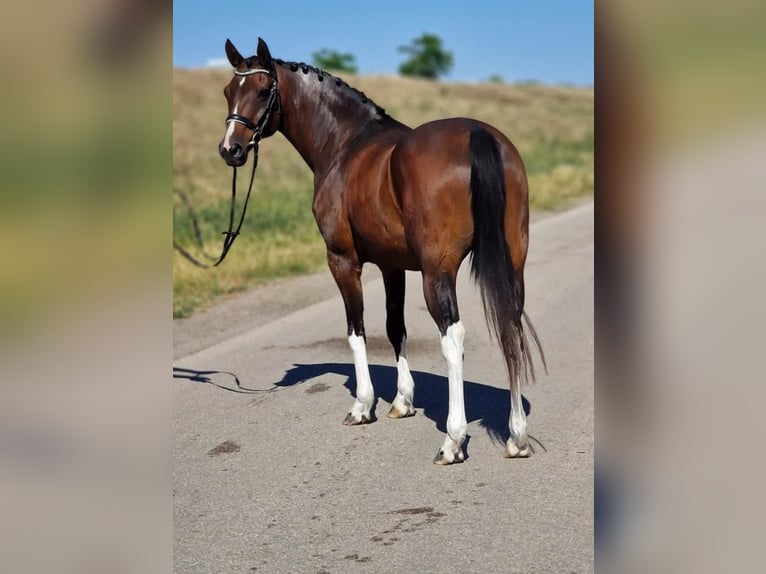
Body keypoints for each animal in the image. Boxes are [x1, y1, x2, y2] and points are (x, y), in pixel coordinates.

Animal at [218, 38, 545, 465]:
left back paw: (453, 440)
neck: (344, 143)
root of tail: (479, 135)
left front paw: (363, 405)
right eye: (228, 91)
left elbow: (356, 329)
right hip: (512, 263)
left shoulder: (343, 260)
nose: (231, 149)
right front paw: (402, 401)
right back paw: (517, 436)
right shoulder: (393, 267)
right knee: (511, 325)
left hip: (438, 272)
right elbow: (394, 327)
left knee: (452, 336)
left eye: (261, 91)